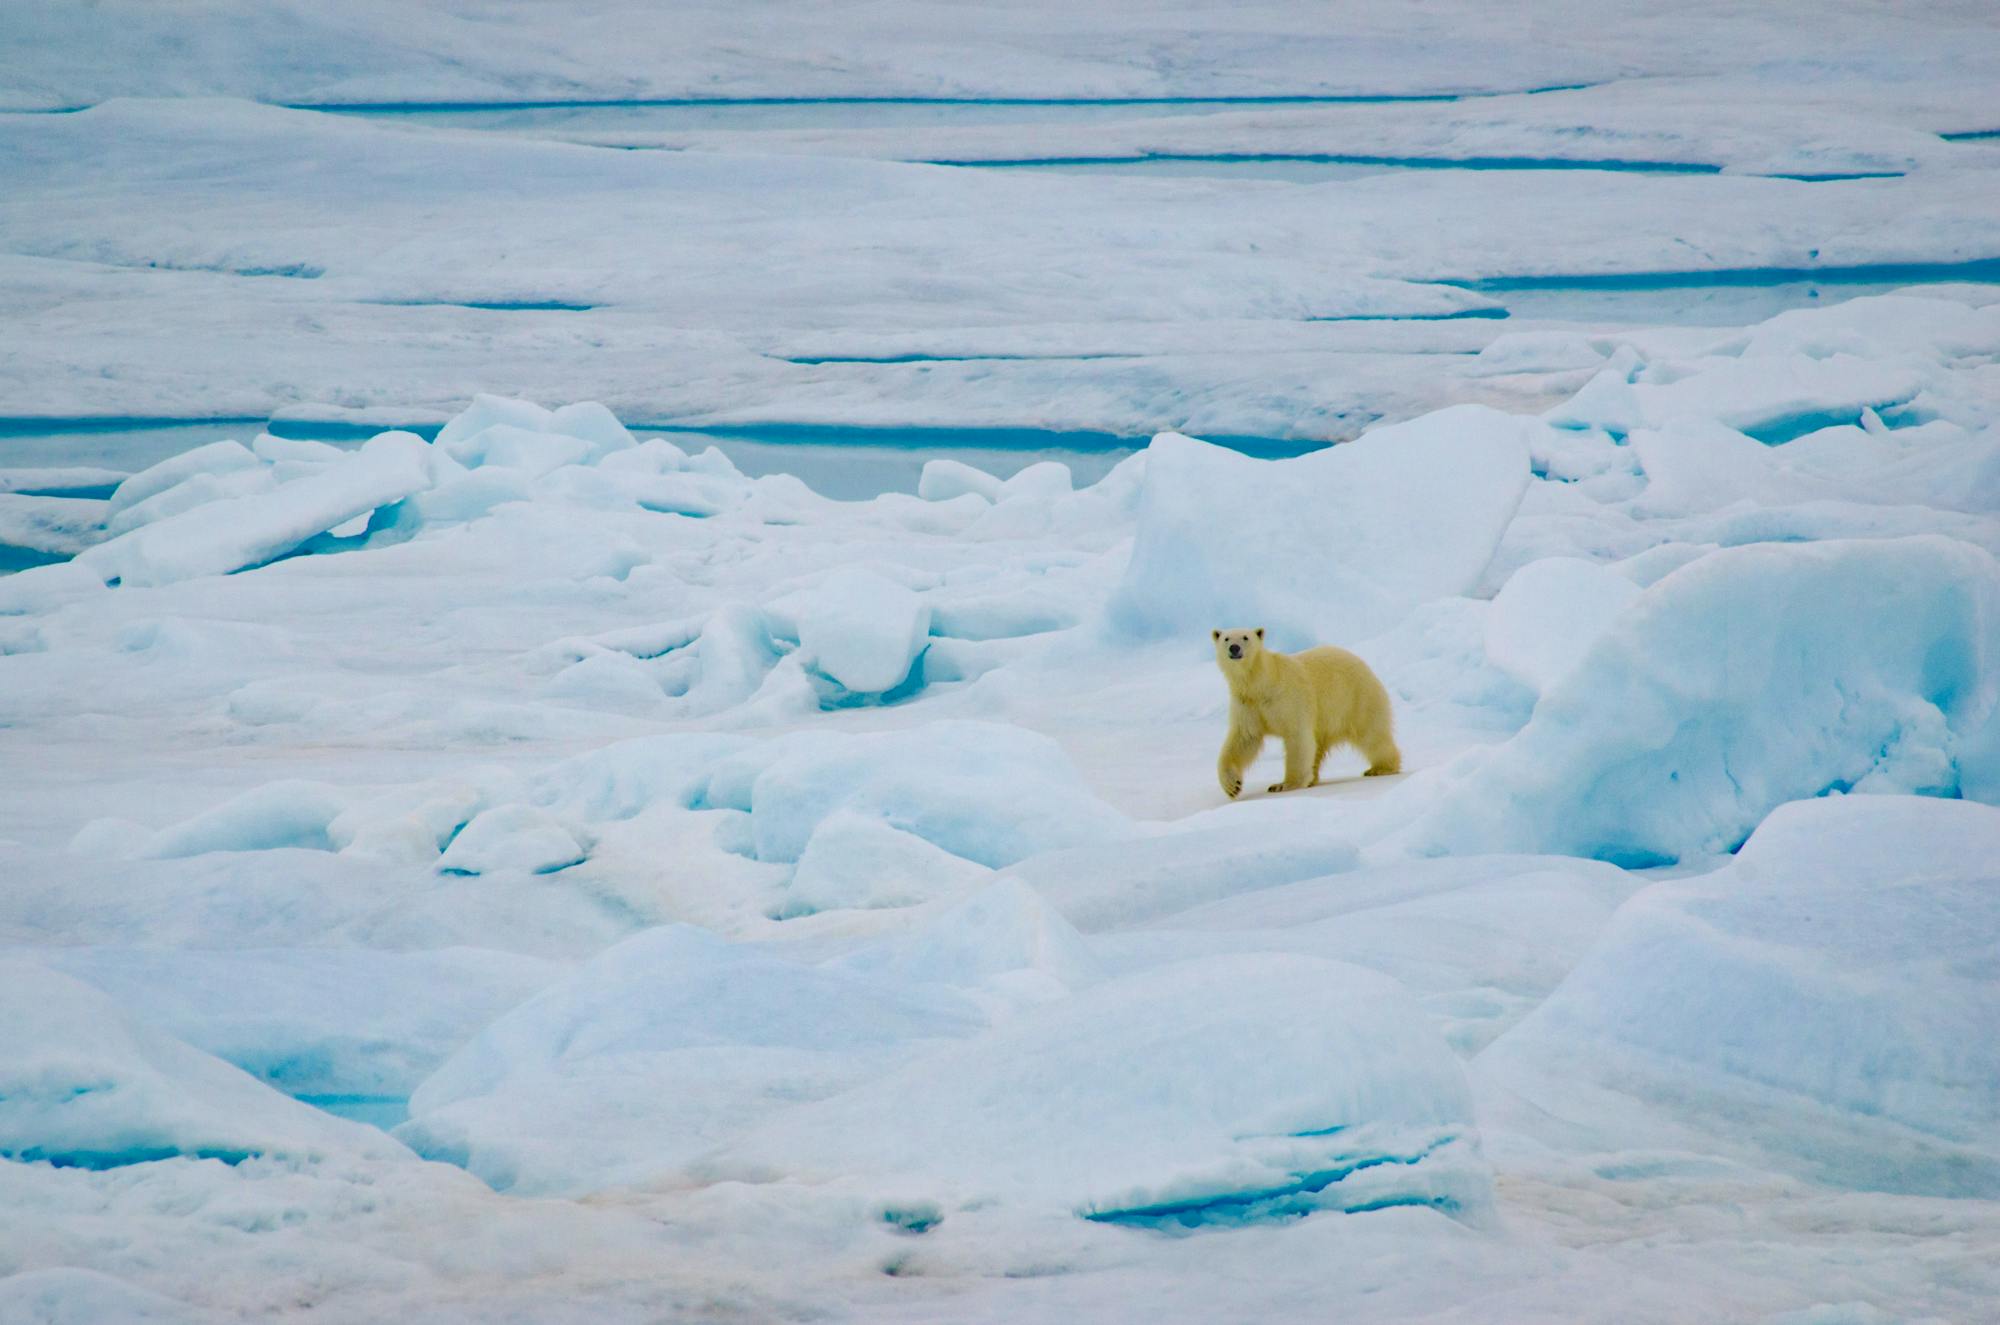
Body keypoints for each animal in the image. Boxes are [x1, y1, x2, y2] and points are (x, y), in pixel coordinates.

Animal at [1213, 627, 1401, 798]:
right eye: (1226, 638)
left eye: (1246, 637)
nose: (1234, 648)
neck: (1262, 682)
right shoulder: (1248, 703)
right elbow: (1245, 739)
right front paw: (1232, 786)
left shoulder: (1288, 697)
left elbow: (1297, 736)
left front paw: (1284, 785)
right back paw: (1313, 779)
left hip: (1356, 699)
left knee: (1372, 734)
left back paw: (1381, 768)